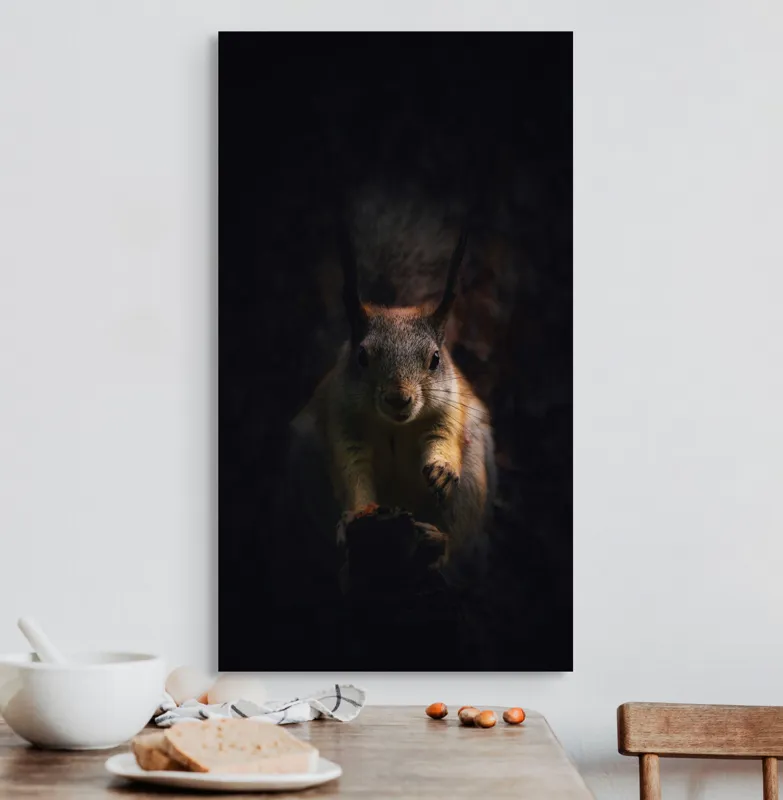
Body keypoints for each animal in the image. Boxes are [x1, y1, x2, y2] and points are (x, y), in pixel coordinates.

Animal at [286, 226, 496, 587]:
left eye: (435, 358)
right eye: (361, 356)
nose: (399, 399)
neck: (394, 424)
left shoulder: (450, 408)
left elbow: (442, 438)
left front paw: (442, 469)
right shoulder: (341, 416)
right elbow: (352, 469)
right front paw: (359, 513)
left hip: (471, 484)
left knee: (454, 533)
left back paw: (439, 545)